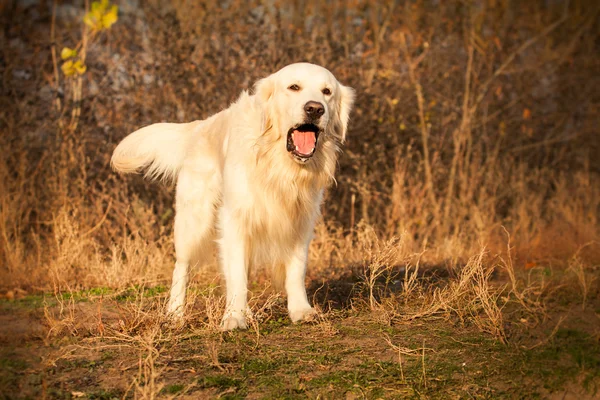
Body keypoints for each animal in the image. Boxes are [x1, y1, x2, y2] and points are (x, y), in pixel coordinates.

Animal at [110, 63, 354, 332]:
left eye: (327, 92)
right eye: (294, 87)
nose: (315, 108)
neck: (276, 163)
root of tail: (200, 125)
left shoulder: (301, 220)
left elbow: (296, 269)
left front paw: (301, 310)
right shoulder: (235, 219)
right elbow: (236, 274)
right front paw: (234, 317)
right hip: (193, 221)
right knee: (181, 267)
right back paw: (175, 313)